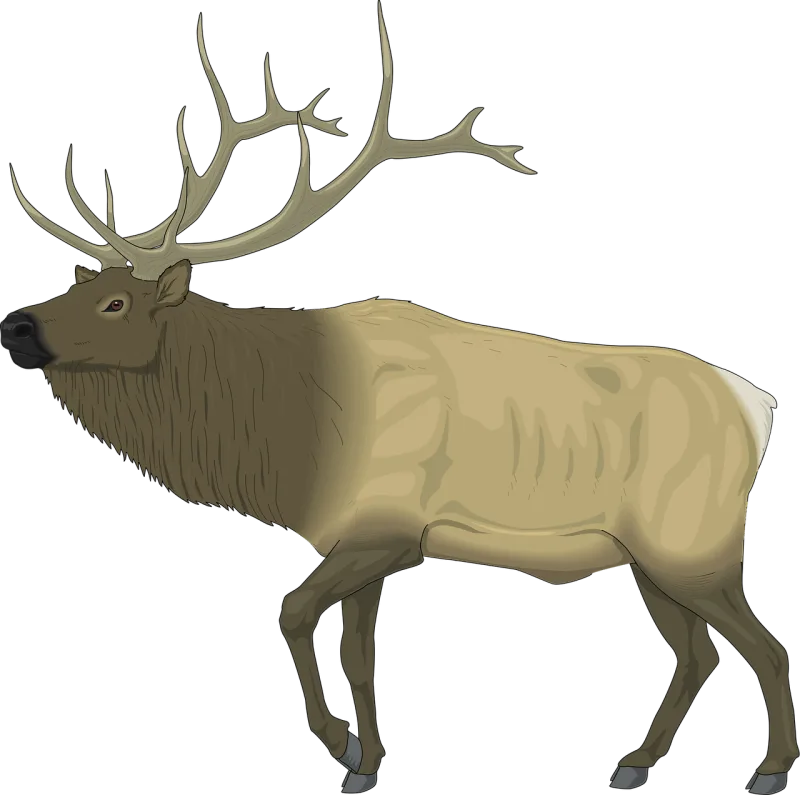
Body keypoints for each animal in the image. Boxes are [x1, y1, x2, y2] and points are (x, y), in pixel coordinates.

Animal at [2, 5, 795, 794]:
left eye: (114, 303)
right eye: (74, 287)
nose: (14, 326)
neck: (287, 439)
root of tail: (758, 404)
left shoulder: (385, 530)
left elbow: (293, 613)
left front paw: (343, 743)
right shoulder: (362, 543)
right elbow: (358, 655)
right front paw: (366, 763)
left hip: (693, 543)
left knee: (766, 646)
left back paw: (771, 769)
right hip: (651, 559)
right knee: (698, 653)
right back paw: (634, 763)